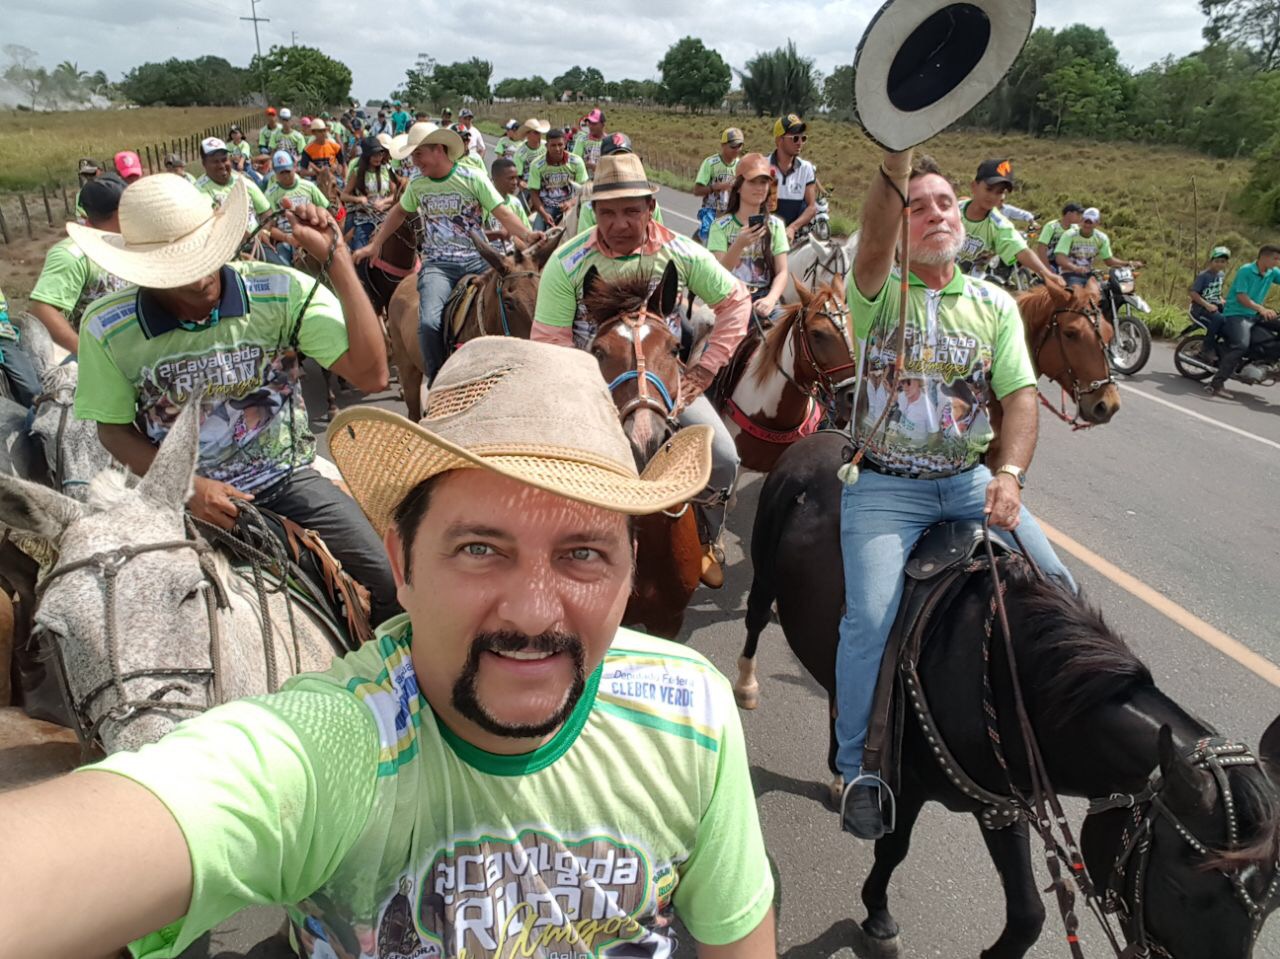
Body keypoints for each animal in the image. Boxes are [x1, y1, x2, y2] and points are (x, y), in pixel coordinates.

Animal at [737, 432, 1274, 957]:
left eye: (1267, 910)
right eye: (1182, 888)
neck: (1005, 674)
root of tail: (822, 437)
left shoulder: (1001, 799)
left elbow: (1029, 915)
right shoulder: (911, 782)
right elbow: (893, 848)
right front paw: (879, 916)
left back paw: (839, 770)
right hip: (765, 576)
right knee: (758, 621)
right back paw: (747, 686)